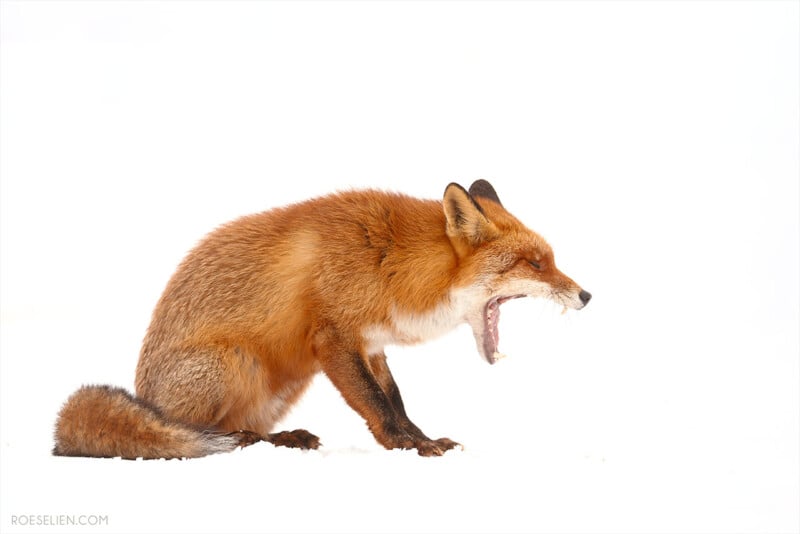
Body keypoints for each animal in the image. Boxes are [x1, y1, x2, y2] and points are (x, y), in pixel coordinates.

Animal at [53, 180, 590, 458]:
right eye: (535, 264)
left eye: (550, 260)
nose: (587, 295)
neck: (392, 263)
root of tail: (143, 394)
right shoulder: (333, 339)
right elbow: (375, 404)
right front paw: (405, 446)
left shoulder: (371, 344)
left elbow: (396, 400)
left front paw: (420, 437)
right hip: (234, 362)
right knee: (190, 429)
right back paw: (238, 440)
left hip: (286, 384)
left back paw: (280, 438)